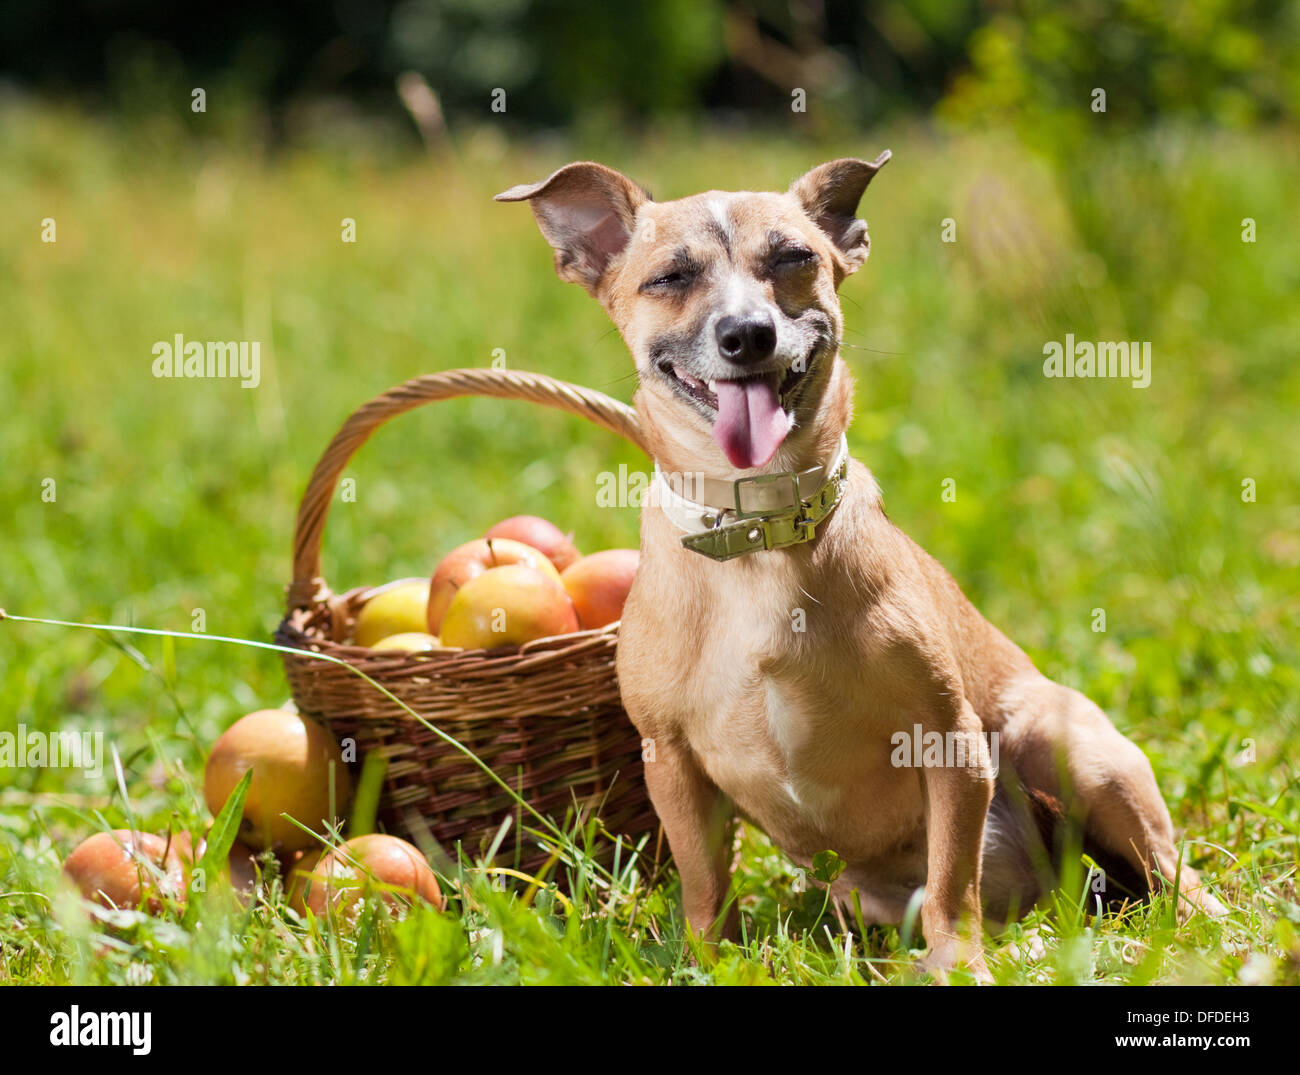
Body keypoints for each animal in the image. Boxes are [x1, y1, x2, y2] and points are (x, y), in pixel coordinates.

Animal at [496, 157, 1227, 977]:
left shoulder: (948, 740)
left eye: (794, 258)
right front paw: (709, 960)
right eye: (671, 276)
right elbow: (704, 884)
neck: (760, 530)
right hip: (864, 887)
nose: (748, 333)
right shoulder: (672, 762)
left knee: (1173, 876)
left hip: (1062, 744)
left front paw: (959, 963)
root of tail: (1055, 891)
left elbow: (953, 882)